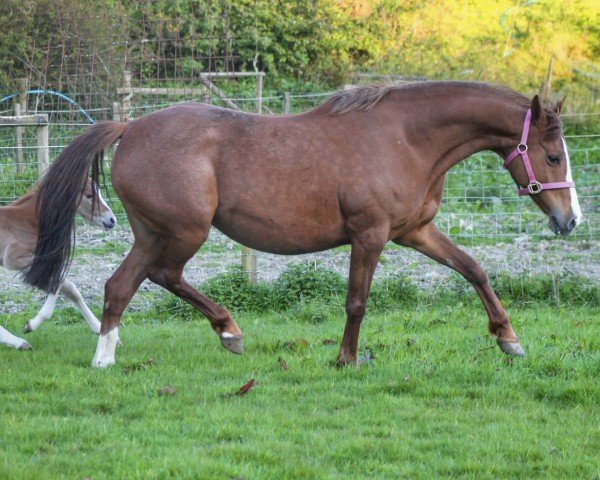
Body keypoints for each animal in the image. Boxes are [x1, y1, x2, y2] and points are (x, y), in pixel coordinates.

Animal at [0, 178, 116, 350]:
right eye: (89, 195)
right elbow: (59, 281)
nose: (112, 220)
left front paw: (100, 329)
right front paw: (31, 325)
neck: (26, 221)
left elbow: (70, 289)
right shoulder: (15, 258)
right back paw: (19, 342)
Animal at [24, 82, 580, 368]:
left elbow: (474, 269)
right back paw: (208, 335)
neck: (405, 138)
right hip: (182, 233)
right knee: (152, 278)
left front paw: (509, 339)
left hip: (154, 233)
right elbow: (357, 301)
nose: (570, 220)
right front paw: (346, 360)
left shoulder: (414, 232)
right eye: (553, 155)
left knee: (127, 284)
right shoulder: (370, 235)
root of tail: (131, 126)